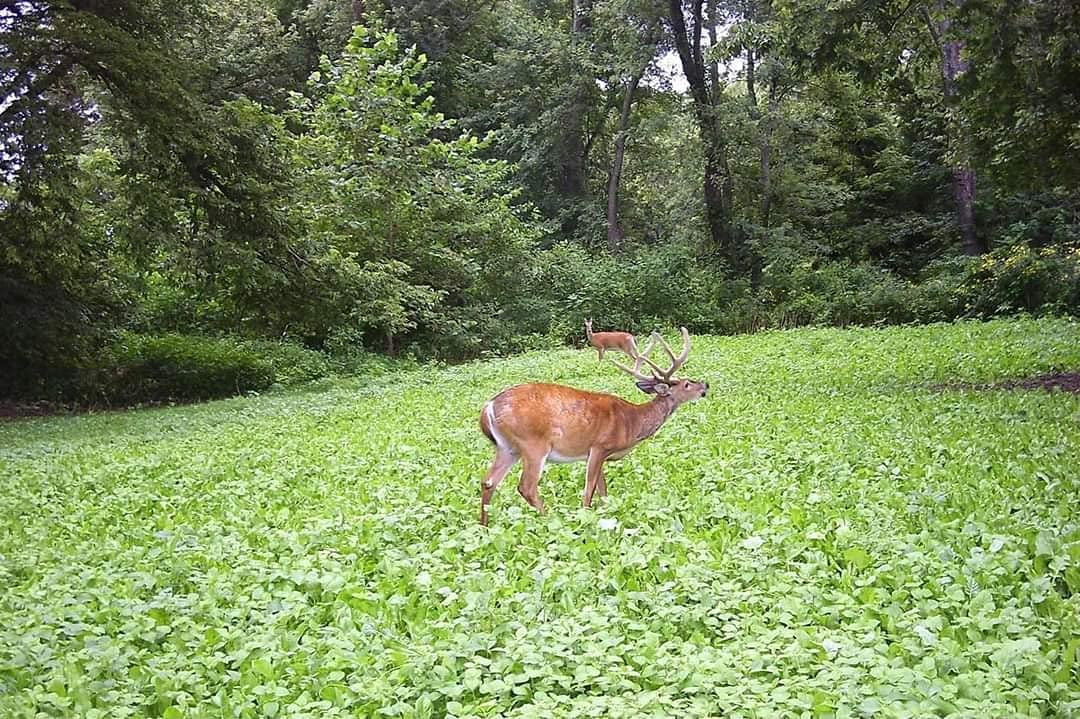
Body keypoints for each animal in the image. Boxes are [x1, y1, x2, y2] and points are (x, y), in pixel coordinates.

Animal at [477, 328, 708, 525]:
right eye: (687, 384)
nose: (705, 385)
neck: (632, 421)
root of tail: (488, 407)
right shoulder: (599, 446)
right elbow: (589, 490)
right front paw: (585, 517)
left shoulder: (600, 455)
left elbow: (603, 491)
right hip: (533, 444)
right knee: (526, 487)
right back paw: (550, 519)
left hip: (508, 448)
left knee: (488, 481)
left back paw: (484, 526)